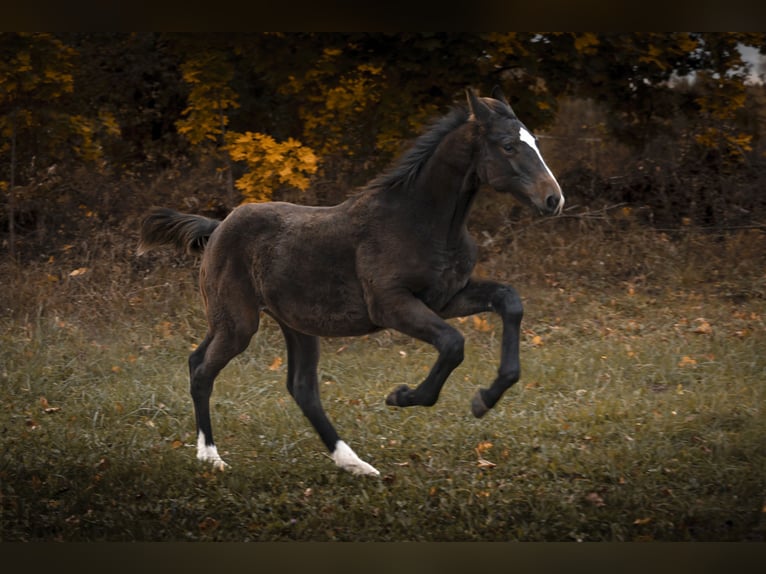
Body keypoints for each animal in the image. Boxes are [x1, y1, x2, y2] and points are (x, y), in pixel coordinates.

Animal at [140, 86, 564, 476]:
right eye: (508, 145)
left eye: (535, 142)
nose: (553, 199)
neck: (420, 220)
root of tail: (217, 228)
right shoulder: (391, 304)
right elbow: (453, 343)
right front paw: (403, 396)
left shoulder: (446, 297)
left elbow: (509, 300)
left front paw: (485, 399)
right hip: (238, 323)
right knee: (203, 371)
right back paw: (210, 457)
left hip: (291, 324)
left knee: (296, 387)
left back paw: (354, 464)